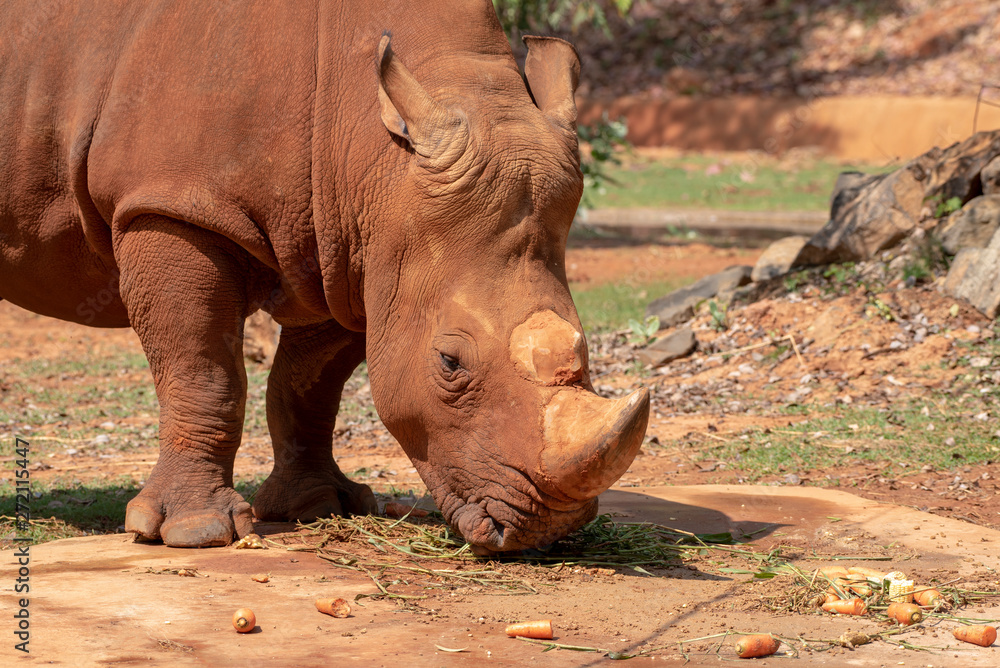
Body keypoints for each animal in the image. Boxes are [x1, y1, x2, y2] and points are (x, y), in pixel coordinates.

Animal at [0, 0, 649, 553]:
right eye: (449, 362)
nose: (552, 529)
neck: (376, 153)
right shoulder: (173, 206)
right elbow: (201, 369)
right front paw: (195, 533)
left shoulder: (351, 248)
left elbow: (310, 384)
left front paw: (320, 507)